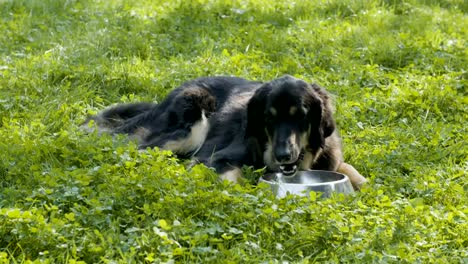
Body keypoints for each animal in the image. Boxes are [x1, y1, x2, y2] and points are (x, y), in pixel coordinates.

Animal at [84, 75, 366, 189]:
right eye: (268, 118)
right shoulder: (215, 158)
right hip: (191, 121)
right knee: (145, 150)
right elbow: (230, 179)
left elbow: (352, 171)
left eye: (301, 116)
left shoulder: (331, 159)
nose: (283, 155)